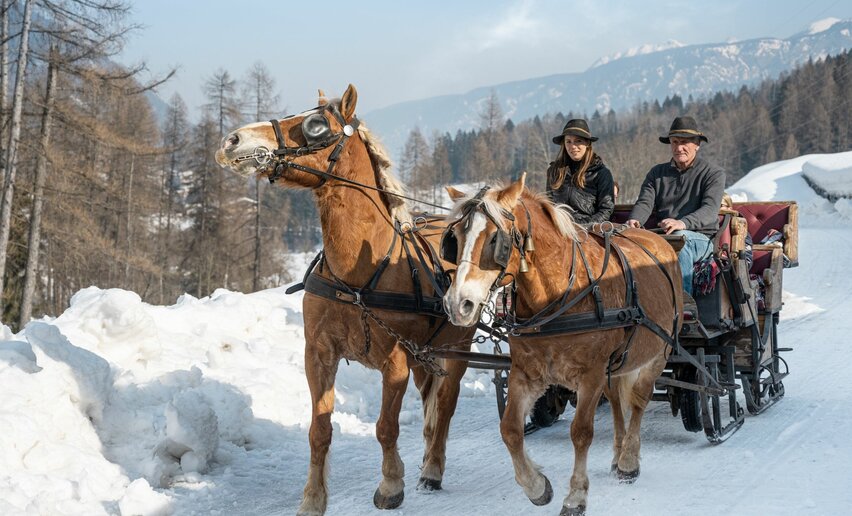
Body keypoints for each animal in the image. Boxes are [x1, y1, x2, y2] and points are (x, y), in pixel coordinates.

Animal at [215, 85, 475, 515]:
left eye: (316, 125)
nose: (232, 140)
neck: (356, 273)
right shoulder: (319, 353)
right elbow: (319, 430)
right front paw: (312, 498)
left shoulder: (395, 361)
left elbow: (386, 427)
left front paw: (391, 484)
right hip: (426, 354)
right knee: (431, 402)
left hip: (457, 348)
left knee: (447, 402)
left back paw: (433, 470)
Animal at [441, 174, 682, 515]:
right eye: (455, 238)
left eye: (493, 240)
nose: (457, 304)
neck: (558, 296)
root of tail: (656, 239)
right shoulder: (527, 374)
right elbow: (510, 429)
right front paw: (537, 486)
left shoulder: (591, 375)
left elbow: (581, 432)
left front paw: (576, 496)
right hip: (618, 363)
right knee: (618, 402)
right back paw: (618, 454)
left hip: (658, 354)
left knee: (638, 401)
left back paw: (628, 461)